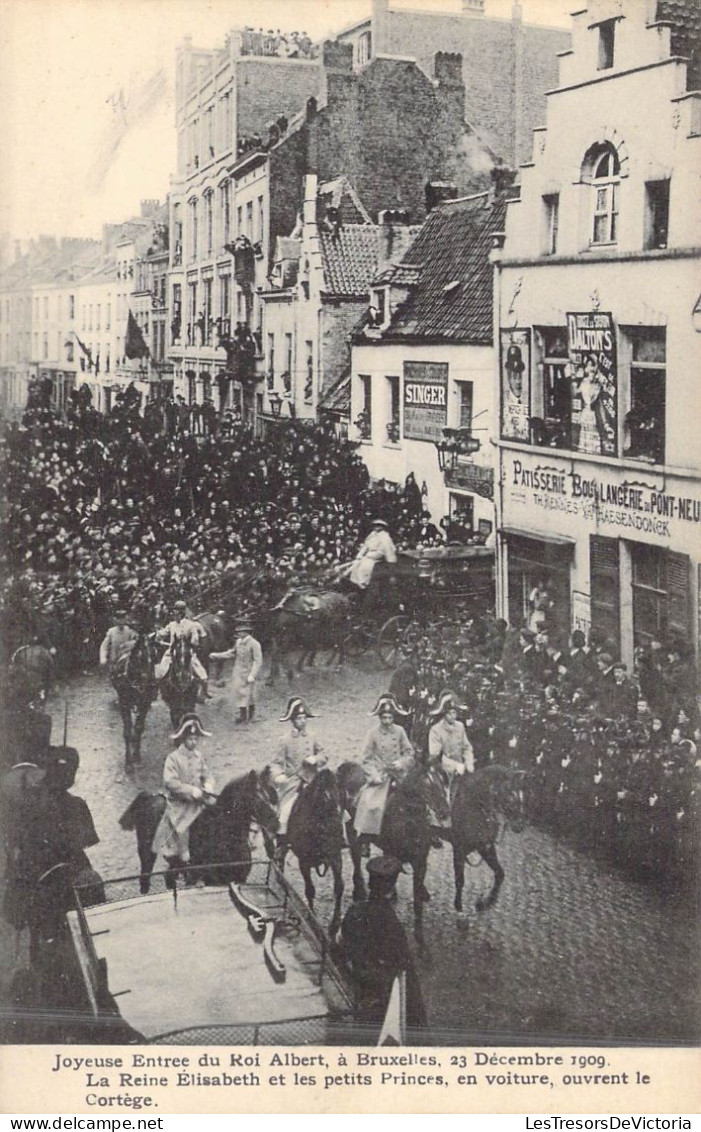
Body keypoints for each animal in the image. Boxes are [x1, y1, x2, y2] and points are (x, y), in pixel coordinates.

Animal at [110, 633, 158, 774]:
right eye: (141, 657)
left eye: (155, 657)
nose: (153, 686)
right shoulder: (124, 703)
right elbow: (127, 732)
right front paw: (128, 764)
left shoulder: (145, 703)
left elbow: (139, 728)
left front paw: (136, 756)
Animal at [118, 769, 279, 892]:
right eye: (257, 797)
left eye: (269, 795)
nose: (275, 822)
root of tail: (152, 796)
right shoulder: (211, 881)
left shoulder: (239, 879)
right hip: (147, 853)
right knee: (145, 879)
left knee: (168, 876)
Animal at [262, 765, 346, 941]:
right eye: (323, 800)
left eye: (341, 799)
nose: (337, 835)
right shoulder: (304, 862)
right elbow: (310, 889)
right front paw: (312, 919)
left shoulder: (336, 857)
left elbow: (339, 887)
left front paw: (334, 926)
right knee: (275, 853)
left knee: (280, 854)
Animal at [335, 760, 450, 937]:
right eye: (426, 783)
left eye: (444, 779)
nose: (444, 811)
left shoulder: (420, 861)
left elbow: (417, 898)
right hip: (352, 829)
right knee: (355, 854)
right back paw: (360, 889)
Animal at [450, 760, 525, 910]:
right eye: (510, 800)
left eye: (521, 799)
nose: (519, 826)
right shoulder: (459, 849)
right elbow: (460, 879)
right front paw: (458, 906)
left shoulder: (485, 846)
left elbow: (499, 872)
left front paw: (486, 902)